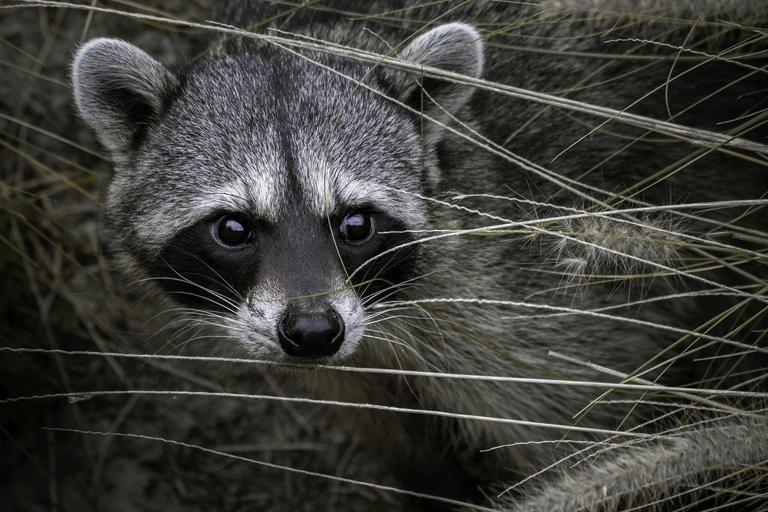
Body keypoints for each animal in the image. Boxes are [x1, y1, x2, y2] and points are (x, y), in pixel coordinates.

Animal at [71, 0, 768, 509]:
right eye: (234, 229)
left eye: (355, 223)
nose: (313, 332)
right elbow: (403, 447)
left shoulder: (541, 316)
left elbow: (585, 440)